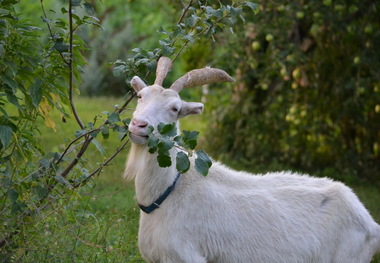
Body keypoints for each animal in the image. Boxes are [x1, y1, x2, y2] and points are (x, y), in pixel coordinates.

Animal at [124, 57, 380, 263]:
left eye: (175, 108)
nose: (138, 125)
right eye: (140, 96)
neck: (169, 191)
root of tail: (368, 221)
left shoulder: (187, 256)